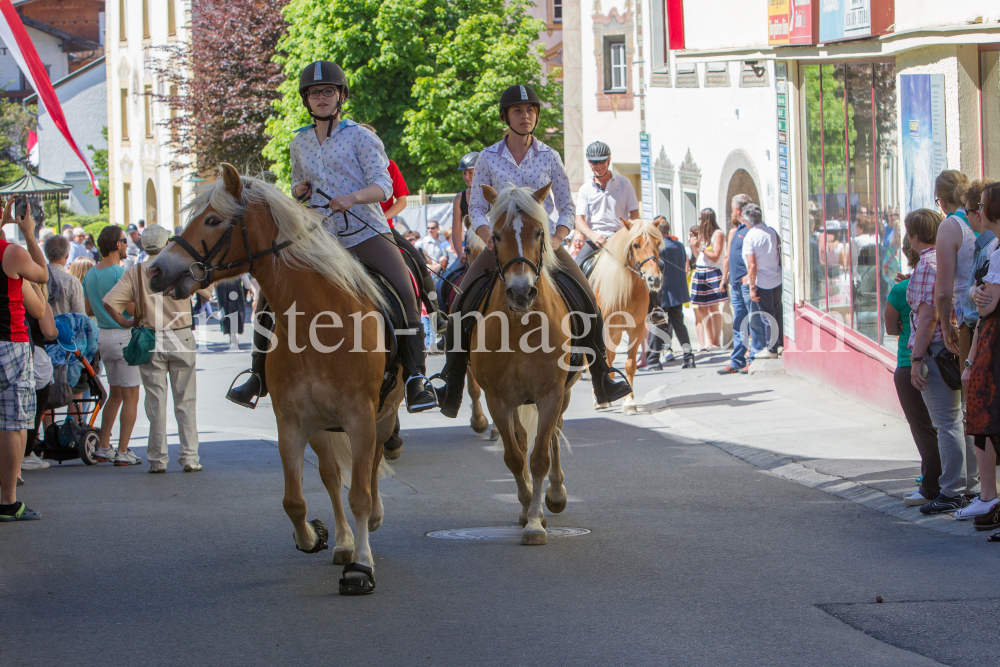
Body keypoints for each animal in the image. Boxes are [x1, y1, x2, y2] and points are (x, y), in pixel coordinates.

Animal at [146, 166, 402, 596]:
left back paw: (370, 528)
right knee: (332, 476)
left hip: (383, 416)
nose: (154, 270)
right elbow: (294, 500)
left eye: (212, 220)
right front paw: (314, 536)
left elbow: (361, 494)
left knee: (371, 468)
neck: (318, 320)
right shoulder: (292, 422)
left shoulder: (361, 417)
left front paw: (362, 567)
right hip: (322, 426)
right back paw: (345, 541)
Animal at [472, 183, 584, 544]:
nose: (521, 292)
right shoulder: (497, 399)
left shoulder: (551, 393)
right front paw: (525, 509)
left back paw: (556, 495)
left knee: (553, 435)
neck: (521, 324)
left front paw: (536, 520)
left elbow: (539, 458)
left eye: (539, 232)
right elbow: (514, 455)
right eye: (495, 235)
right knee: (522, 440)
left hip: (562, 394)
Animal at [588, 219, 660, 414]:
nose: (655, 279)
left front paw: (629, 401)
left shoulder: (637, 329)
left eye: (658, 243)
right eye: (635, 245)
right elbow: (604, 361)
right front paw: (602, 398)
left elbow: (630, 364)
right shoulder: (604, 330)